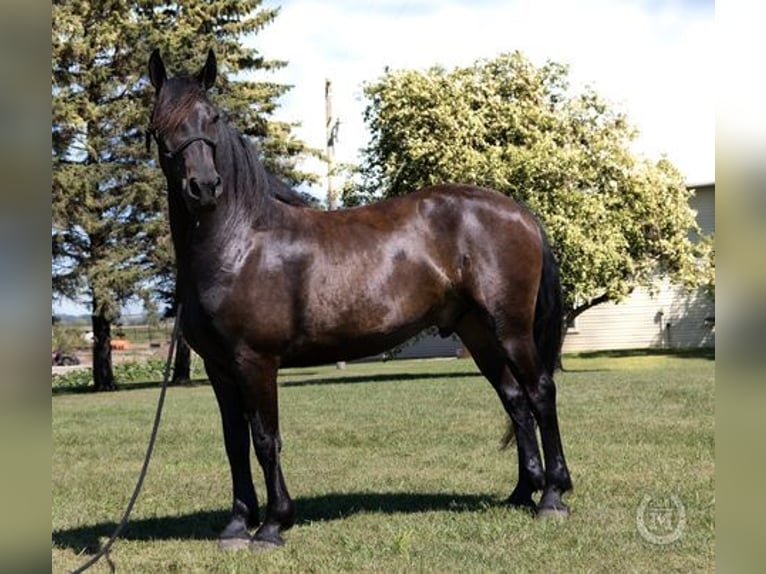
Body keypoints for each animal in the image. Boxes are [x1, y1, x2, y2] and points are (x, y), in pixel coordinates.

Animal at [147, 48, 572, 550]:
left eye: (212, 117)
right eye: (160, 123)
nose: (204, 188)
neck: (239, 241)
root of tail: (520, 211)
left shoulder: (255, 361)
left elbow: (266, 438)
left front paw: (272, 525)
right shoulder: (219, 368)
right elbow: (235, 442)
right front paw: (236, 525)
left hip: (511, 329)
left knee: (540, 392)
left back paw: (553, 497)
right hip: (478, 333)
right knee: (515, 400)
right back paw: (522, 492)